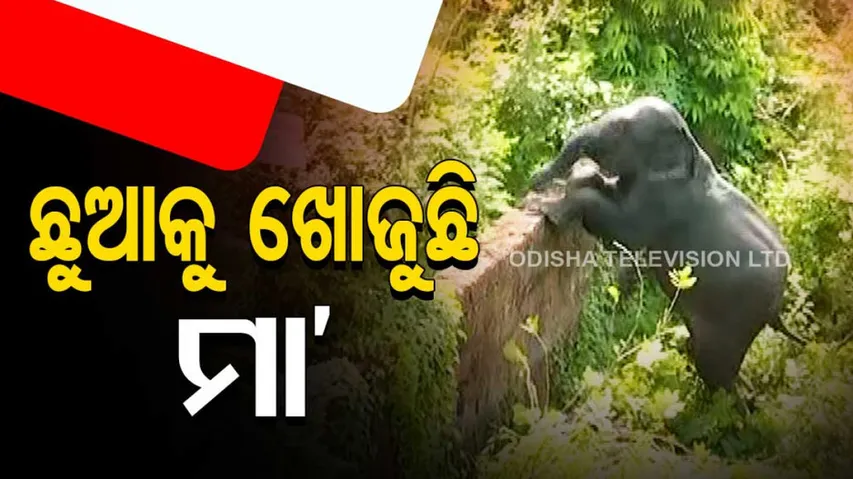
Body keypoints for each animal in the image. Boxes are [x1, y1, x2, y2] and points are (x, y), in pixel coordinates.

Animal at [525, 96, 804, 391]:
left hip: (735, 322)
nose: (534, 181)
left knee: (717, 371)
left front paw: (545, 208)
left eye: (623, 129)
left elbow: (625, 231)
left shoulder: (665, 201)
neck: (691, 142)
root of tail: (776, 310)